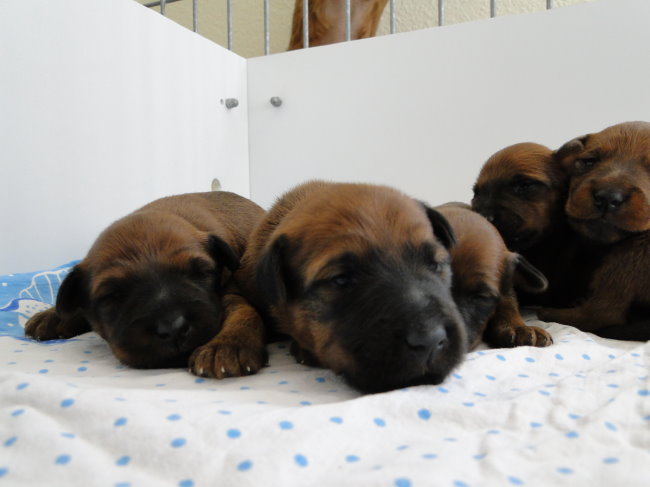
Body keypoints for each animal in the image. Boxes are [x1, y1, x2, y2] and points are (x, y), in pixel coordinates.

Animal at [24, 191, 265, 368]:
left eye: (201, 273)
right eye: (112, 296)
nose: (173, 329)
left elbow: (240, 309)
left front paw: (226, 346)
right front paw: (55, 315)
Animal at [190, 181, 467, 393]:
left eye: (436, 265)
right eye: (341, 280)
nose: (430, 340)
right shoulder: (238, 285)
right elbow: (243, 309)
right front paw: (228, 346)